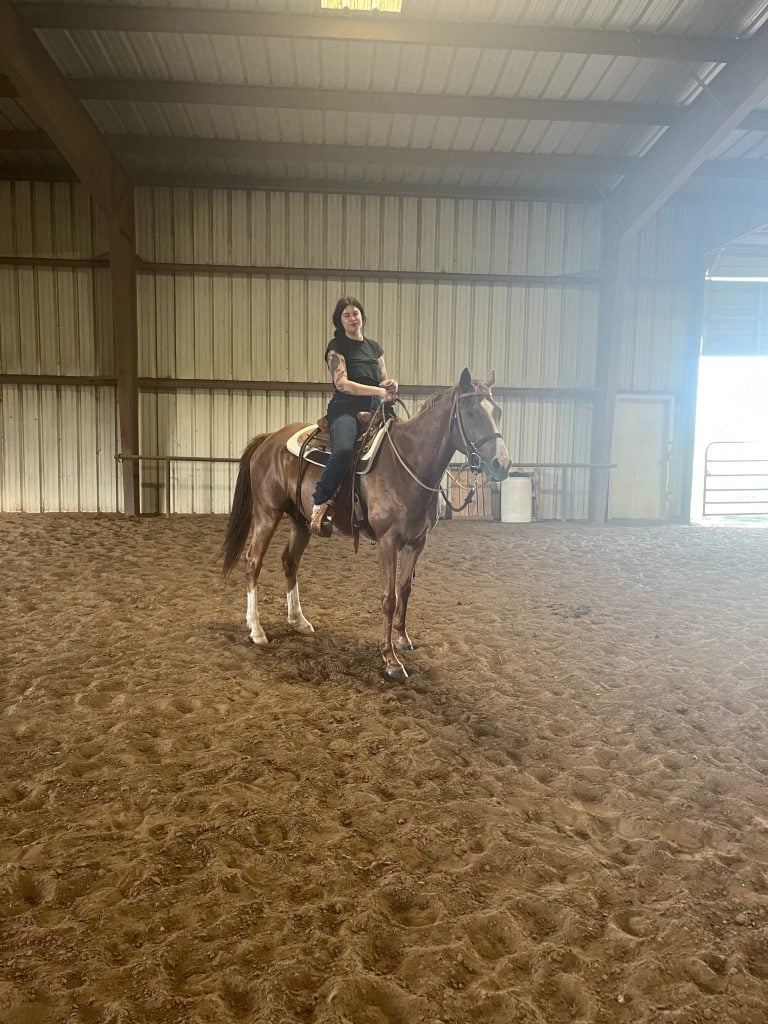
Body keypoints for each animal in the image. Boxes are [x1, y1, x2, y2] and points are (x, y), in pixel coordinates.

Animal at [221, 368, 512, 679]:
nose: (502, 464)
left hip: (300, 522)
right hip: (267, 513)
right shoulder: (388, 541)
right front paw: (390, 659)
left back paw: (299, 621)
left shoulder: (417, 542)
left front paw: (402, 639)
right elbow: (389, 598)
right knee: (253, 562)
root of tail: (268, 439)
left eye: (498, 412)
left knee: (290, 561)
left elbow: (404, 590)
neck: (409, 464)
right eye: (470, 413)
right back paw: (256, 629)